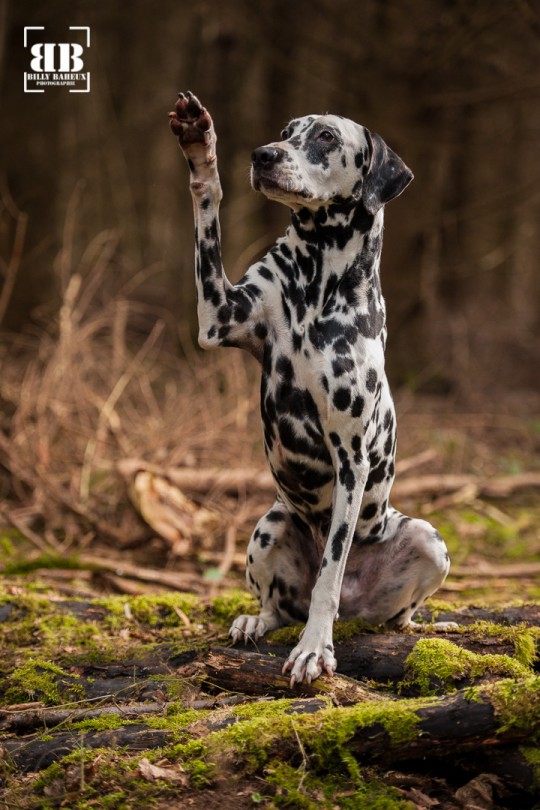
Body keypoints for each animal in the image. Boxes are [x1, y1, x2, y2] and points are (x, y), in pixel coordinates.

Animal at [170, 91, 456, 684]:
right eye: (285, 131)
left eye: (325, 136)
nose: (264, 155)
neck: (316, 280)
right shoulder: (217, 318)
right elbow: (207, 205)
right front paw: (200, 145)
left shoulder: (351, 459)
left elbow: (330, 571)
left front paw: (314, 649)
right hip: (270, 525)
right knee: (277, 605)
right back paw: (255, 621)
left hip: (426, 539)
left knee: (390, 613)